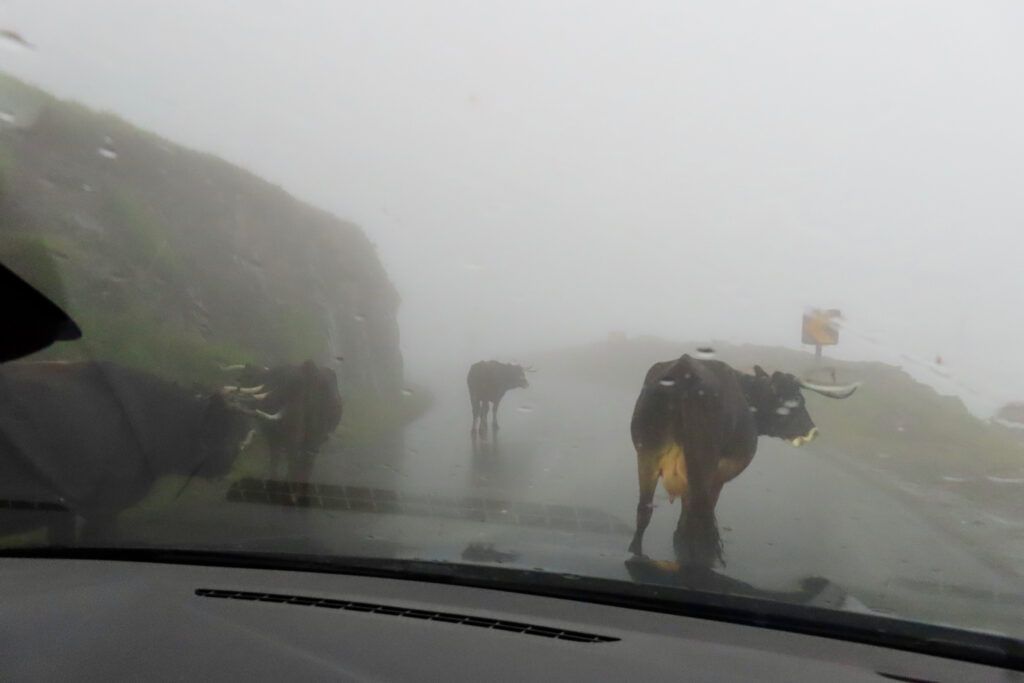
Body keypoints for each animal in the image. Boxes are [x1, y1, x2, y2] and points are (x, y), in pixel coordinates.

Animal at [626, 356, 860, 569]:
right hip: (700, 465)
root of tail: (683, 371)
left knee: (645, 508)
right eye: (797, 400)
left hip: (647, 455)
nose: (813, 431)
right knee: (697, 513)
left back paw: (637, 553)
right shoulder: (717, 476)